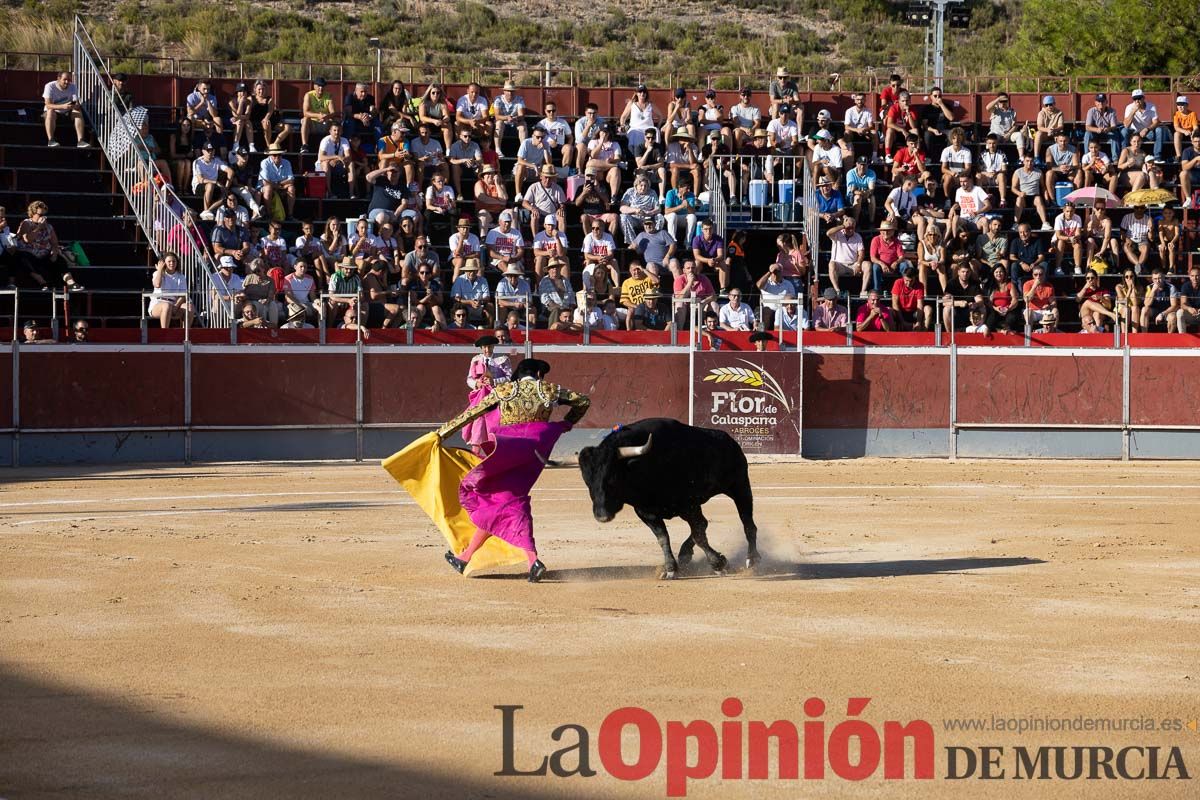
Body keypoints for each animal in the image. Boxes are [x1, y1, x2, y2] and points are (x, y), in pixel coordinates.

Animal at [578, 417, 758, 578]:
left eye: (612, 478)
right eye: (587, 481)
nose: (602, 516)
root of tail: (730, 440)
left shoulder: (689, 506)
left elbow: (699, 535)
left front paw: (719, 564)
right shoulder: (646, 512)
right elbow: (663, 537)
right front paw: (670, 568)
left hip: (740, 486)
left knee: (748, 523)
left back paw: (752, 559)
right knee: (705, 524)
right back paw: (685, 554)